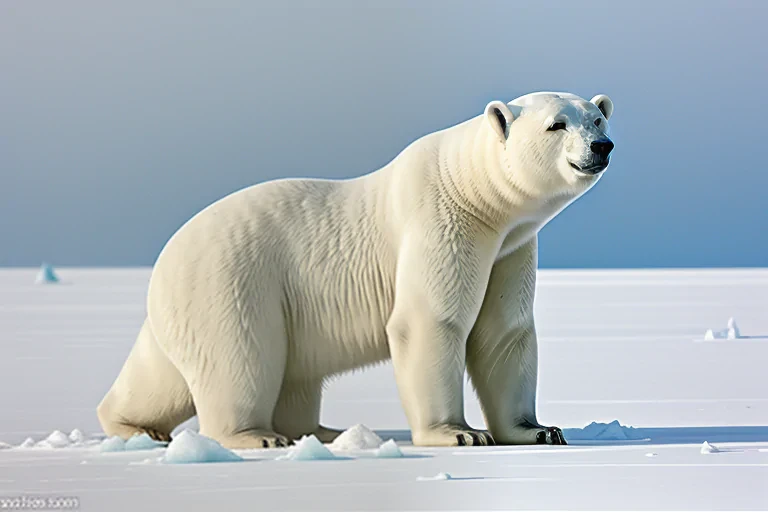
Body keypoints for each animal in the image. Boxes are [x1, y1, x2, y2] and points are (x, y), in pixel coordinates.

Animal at [97, 91, 615, 448]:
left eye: (598, 117)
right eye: (556, 125)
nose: (602, 146)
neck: (472, 192)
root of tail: (163, 262)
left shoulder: (511, 247)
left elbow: (505, 331)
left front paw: (539, 429)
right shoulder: (441, 223)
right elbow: (431, 321)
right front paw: (459, 433)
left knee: (173, 373)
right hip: (229, 279)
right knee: (239, 358)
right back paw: (255, 435)